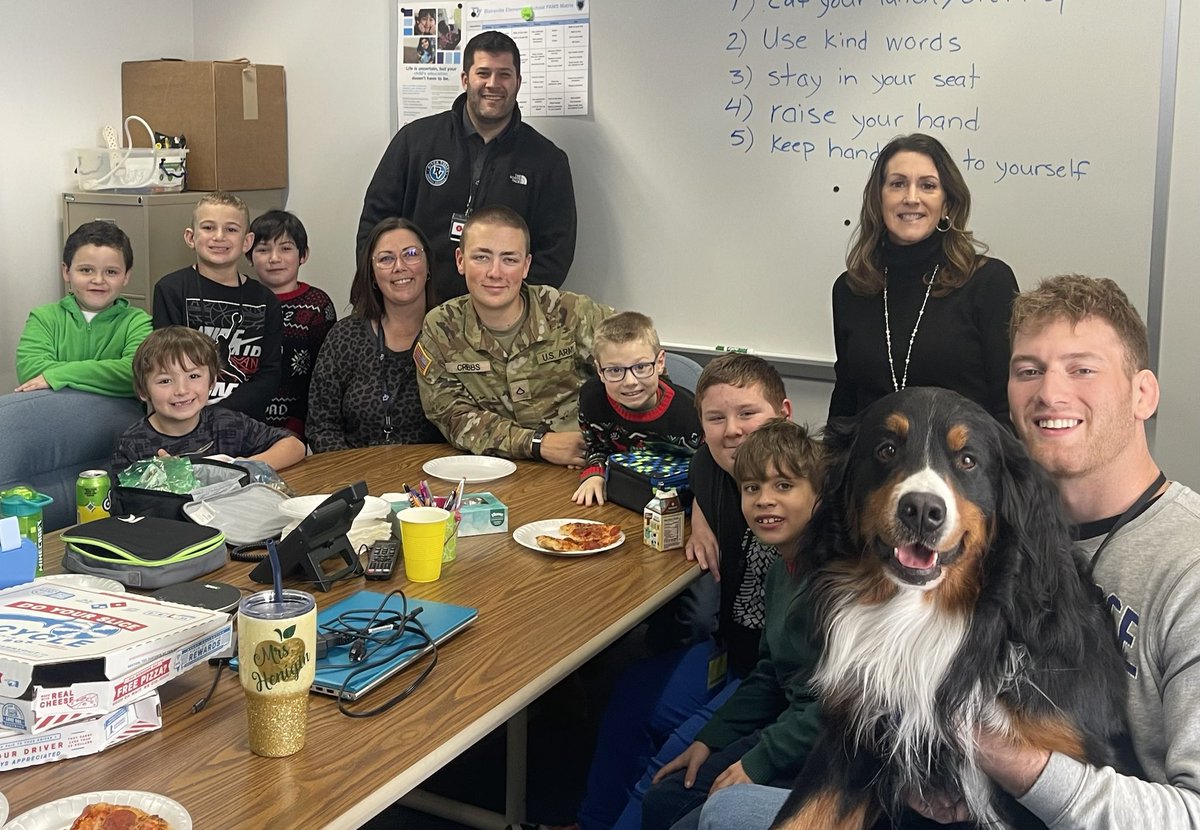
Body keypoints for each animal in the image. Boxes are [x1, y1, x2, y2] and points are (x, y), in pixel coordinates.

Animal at [772, 388, 1128, 830]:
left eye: (968, 460)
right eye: (887, 449)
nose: (922, 510)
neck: (920, 613)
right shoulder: (854, 734)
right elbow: (800, 817)